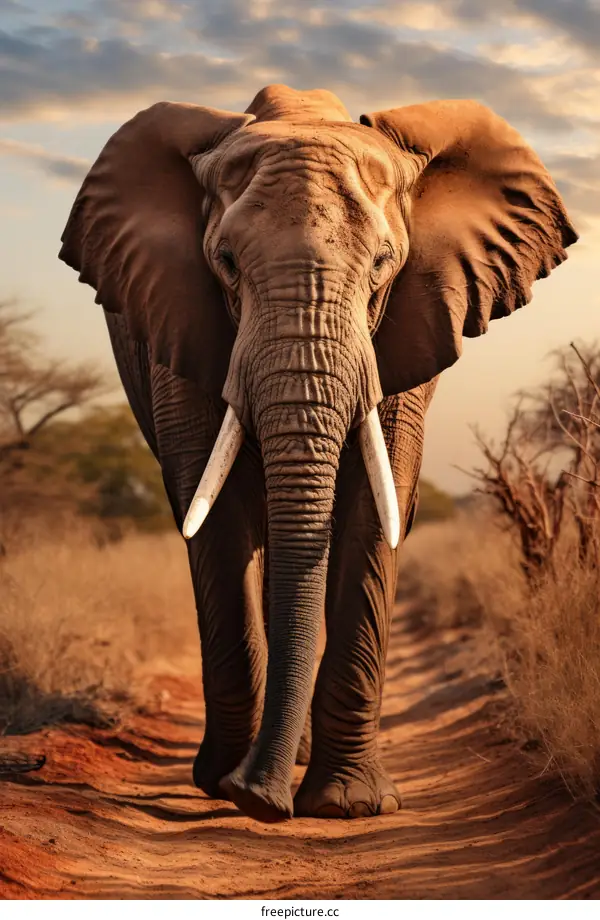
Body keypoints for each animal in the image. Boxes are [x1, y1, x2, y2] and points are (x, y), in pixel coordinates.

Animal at [59, 83, 576, 824]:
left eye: (384, 264)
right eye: (225, 264)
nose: (260, 799)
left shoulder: (407, 327)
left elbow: (373, 508)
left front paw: (346, 804)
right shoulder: (176, 318)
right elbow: (213, 513)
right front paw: (229, 785)